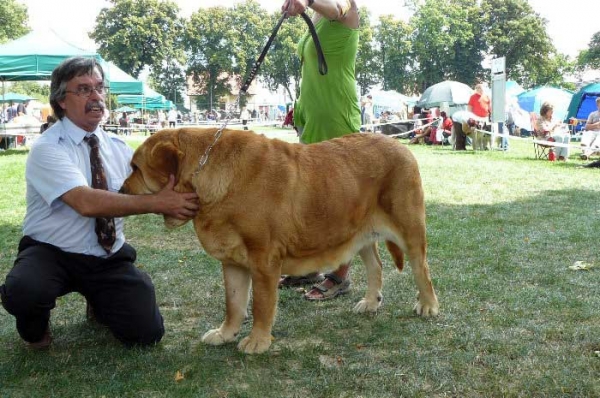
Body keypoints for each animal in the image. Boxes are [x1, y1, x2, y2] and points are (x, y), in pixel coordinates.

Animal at [123, 128, 440, 354]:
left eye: (135, 168)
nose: (120, 189)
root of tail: (401, 146)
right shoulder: (233, 263)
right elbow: (233, 304)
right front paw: (225, 334)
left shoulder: (263, 261)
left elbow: (262, 305)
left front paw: (257, 341)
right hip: (360, 235)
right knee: (376, 267)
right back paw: (371, 302)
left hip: (410, 229)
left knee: (422, 269)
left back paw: (427, 305)